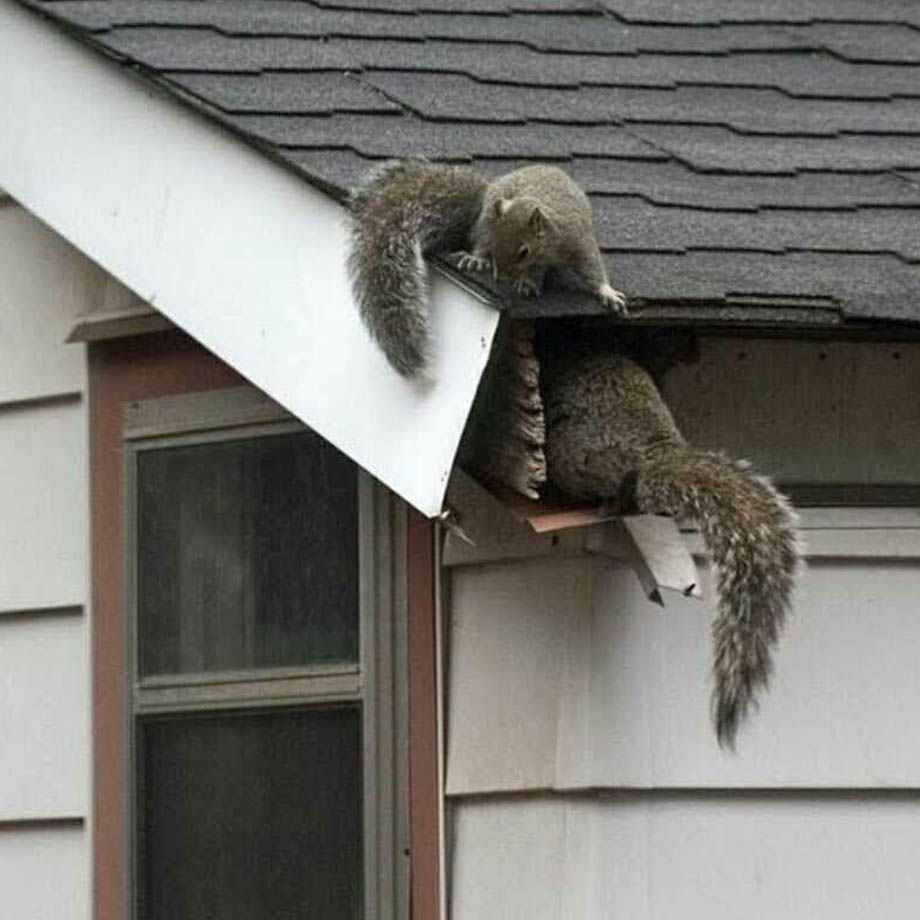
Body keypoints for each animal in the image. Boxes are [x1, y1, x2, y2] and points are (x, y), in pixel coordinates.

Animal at [347, 159, 627, 377]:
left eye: (523, 251)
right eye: (495, 246)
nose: (500, 277)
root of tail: (486, 195)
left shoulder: (577, 240)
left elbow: (592, 267)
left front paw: (607, 292)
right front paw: (487, 262)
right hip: (485, 219)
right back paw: (478, 260)